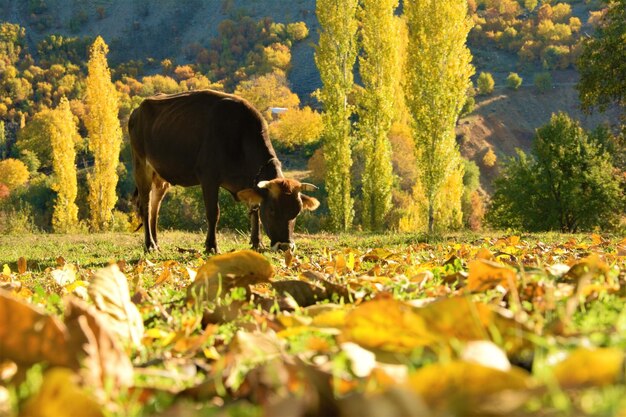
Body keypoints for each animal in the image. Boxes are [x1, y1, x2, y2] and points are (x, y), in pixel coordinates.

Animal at [129, 89, 320, 252]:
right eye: (272, 210)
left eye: (297, 211)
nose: (285, 246)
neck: (240, 137)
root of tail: (138, 109)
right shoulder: (209, 178)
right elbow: (214, 213)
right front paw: (211, 246)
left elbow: (255, 211)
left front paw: (257, 243)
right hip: (141, 165)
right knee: (146, 205)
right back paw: (149, 245)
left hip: (160, 177)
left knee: (155, 208)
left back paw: (156, 243)